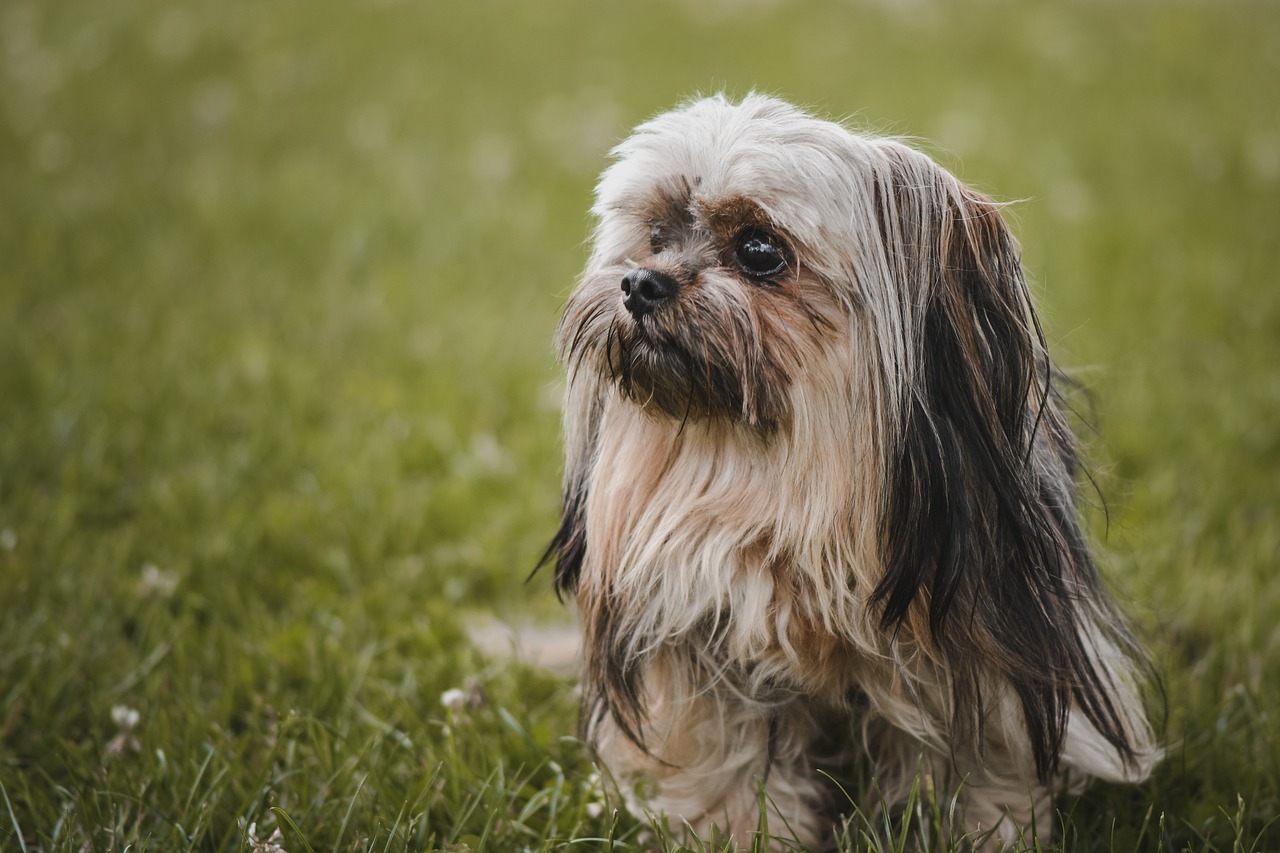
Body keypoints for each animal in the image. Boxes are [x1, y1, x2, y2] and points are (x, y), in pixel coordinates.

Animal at [540, 94, 1162, 845]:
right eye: (656, 234)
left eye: (759, 250)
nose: (639, 282)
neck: (786, 480)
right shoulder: (701, 630)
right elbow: (729, 763)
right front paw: (741, 836)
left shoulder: (975, 641)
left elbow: (970, 759)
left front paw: (973, 831)